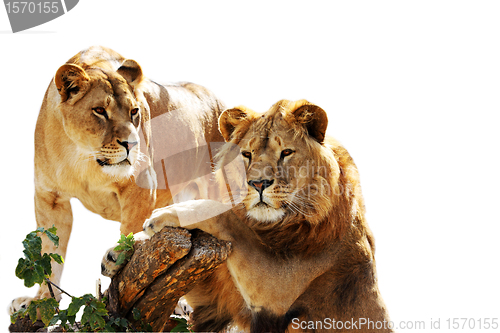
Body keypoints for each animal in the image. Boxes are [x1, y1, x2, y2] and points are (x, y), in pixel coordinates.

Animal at [9, 46, 225, 314]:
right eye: (100, 110)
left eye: (134, 111)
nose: (131, 144)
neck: (83, 156)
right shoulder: (50, 198)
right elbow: (50, 252)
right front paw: (41, 301)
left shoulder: (142, 186)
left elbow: (130, 232)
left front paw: (117, 264)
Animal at [103, 99, 392, 332]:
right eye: (247, 154)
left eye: (286, 152)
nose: (258, 183)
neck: (271, 225)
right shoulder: (215, 299)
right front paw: (120, 252)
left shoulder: (278, 289)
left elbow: (227, 216)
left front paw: (166, 214)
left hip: (301, 321)